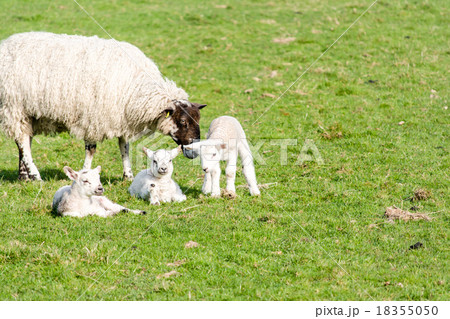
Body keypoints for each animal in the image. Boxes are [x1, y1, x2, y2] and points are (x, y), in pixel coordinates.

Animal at [0, 32, 207, 182]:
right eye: (183, 121)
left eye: (198, 119)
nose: (195, 149)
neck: (137, 89)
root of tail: (5, 44)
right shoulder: (93, 118)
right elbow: (91, 149)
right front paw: (84, 173)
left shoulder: (122, 117)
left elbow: (125, 147)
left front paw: (128, 175)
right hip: (14, 106)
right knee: (22, 141)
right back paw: (35, 175)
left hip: (28, 113)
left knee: (24, 140)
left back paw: (24, 176)